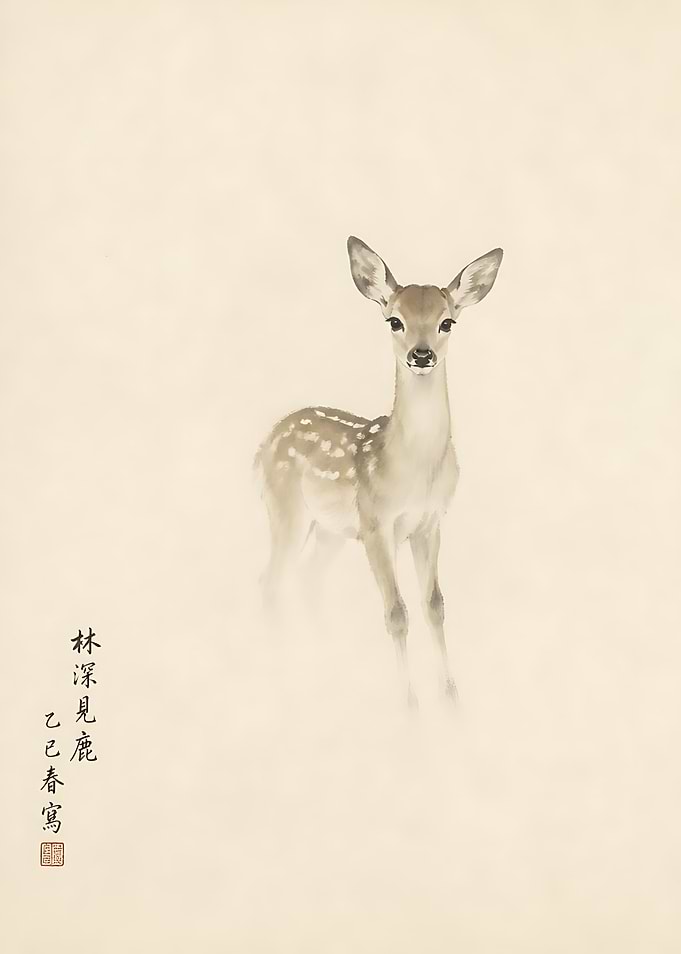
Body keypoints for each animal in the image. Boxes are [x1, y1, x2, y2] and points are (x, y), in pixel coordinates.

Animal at [254, 237, 503, 707]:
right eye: (394, 320)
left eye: (447, 322)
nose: (421, 354)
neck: (412, 469)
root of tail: (264, 443)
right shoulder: (374, 521)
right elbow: (396, 612)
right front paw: (409, 703)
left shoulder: (430, 522)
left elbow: (434, 606)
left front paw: (450, 696)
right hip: (287, 509)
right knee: (270, 582)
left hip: (330, 530)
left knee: (307, 576)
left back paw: (326, 657)